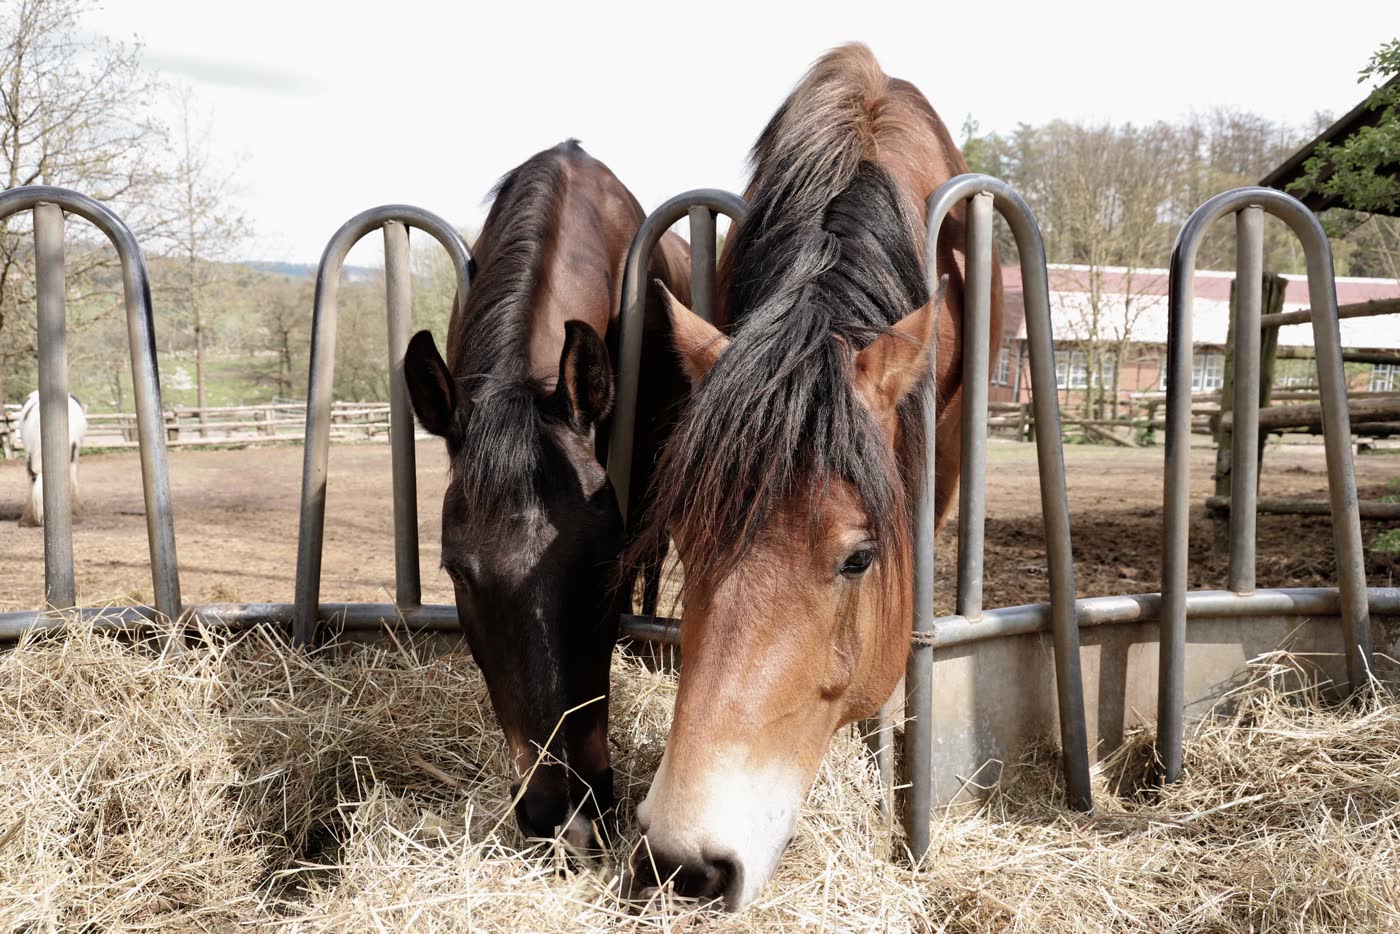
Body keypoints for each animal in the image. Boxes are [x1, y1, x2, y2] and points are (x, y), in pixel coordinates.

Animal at [17, 390, 88, 528]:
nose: (42, 522)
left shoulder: (71, 455)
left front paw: (74, 509)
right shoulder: (28, 459)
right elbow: (30, 486)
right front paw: (26, 519)